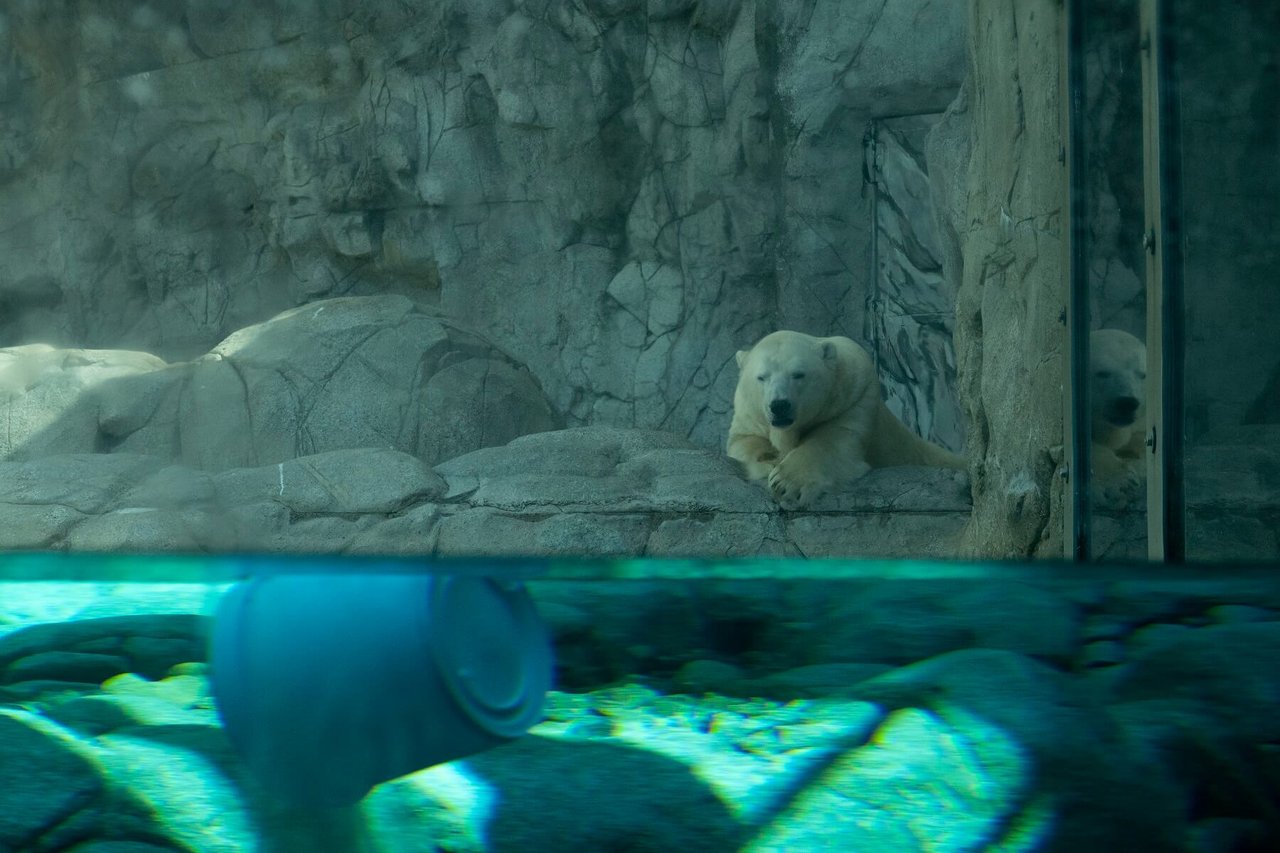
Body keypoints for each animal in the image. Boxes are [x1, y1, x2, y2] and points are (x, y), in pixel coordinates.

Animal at [732, 327, 962, 507]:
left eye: (798, 374)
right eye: (761, 377)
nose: (779, 405)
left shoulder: (854, 397)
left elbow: (831, 441)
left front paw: (786, 484)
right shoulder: (749, 414)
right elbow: (743, 442)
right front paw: (768, 458)